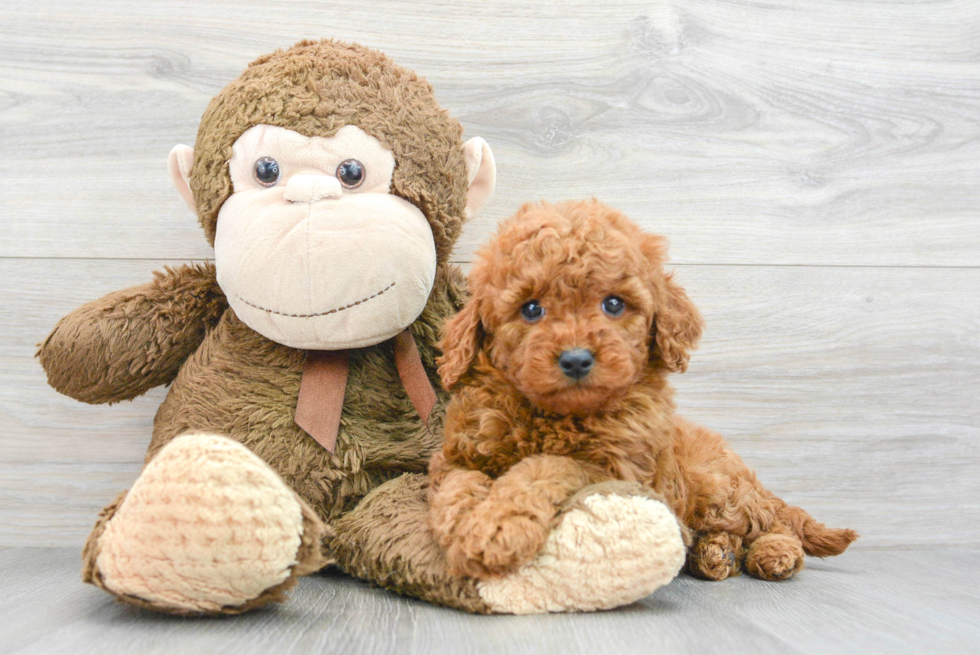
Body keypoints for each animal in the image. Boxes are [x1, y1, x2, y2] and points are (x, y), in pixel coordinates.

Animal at [430, 200, 856, 584]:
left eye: (613, 304)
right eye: (531, 309)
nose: (576, 360)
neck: (558, 415)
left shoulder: (614, 469)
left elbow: (545, 467)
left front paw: (497, 527)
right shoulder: (456, 456)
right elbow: (458, 484)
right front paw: (463, 525)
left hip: (719, 491)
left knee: (769, 521)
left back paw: (774, 552)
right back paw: (716, 553)